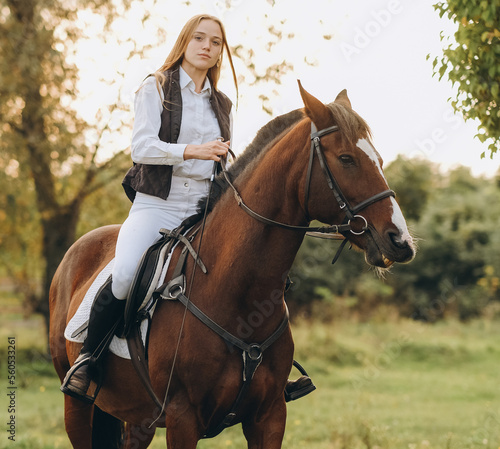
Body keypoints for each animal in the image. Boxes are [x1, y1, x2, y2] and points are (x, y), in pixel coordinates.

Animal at [49, 82, 414, 446]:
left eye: (380, 160)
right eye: (346, 159)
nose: (401, 241)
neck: (237, 294)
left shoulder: (269, 417)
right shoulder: (182, 419)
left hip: (137, 419)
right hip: (77, 408)